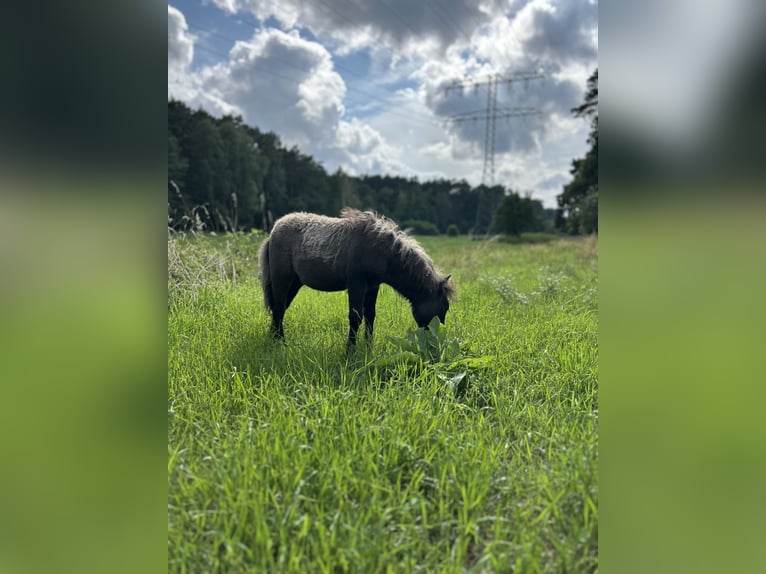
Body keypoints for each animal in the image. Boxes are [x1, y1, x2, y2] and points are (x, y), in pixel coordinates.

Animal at [258, 208, 456, 349]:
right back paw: (281, 342)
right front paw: (350, 350)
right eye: (444, 306)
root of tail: (273, 231)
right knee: (278, 306)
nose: (433, 340)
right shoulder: (356, 285)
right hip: (282, 279)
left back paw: (273, 337)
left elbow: (370, 316)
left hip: (295, 283)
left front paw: (368, 347)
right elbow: (355, 317)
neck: (382, 250)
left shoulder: (373, 286)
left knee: (280, 307)